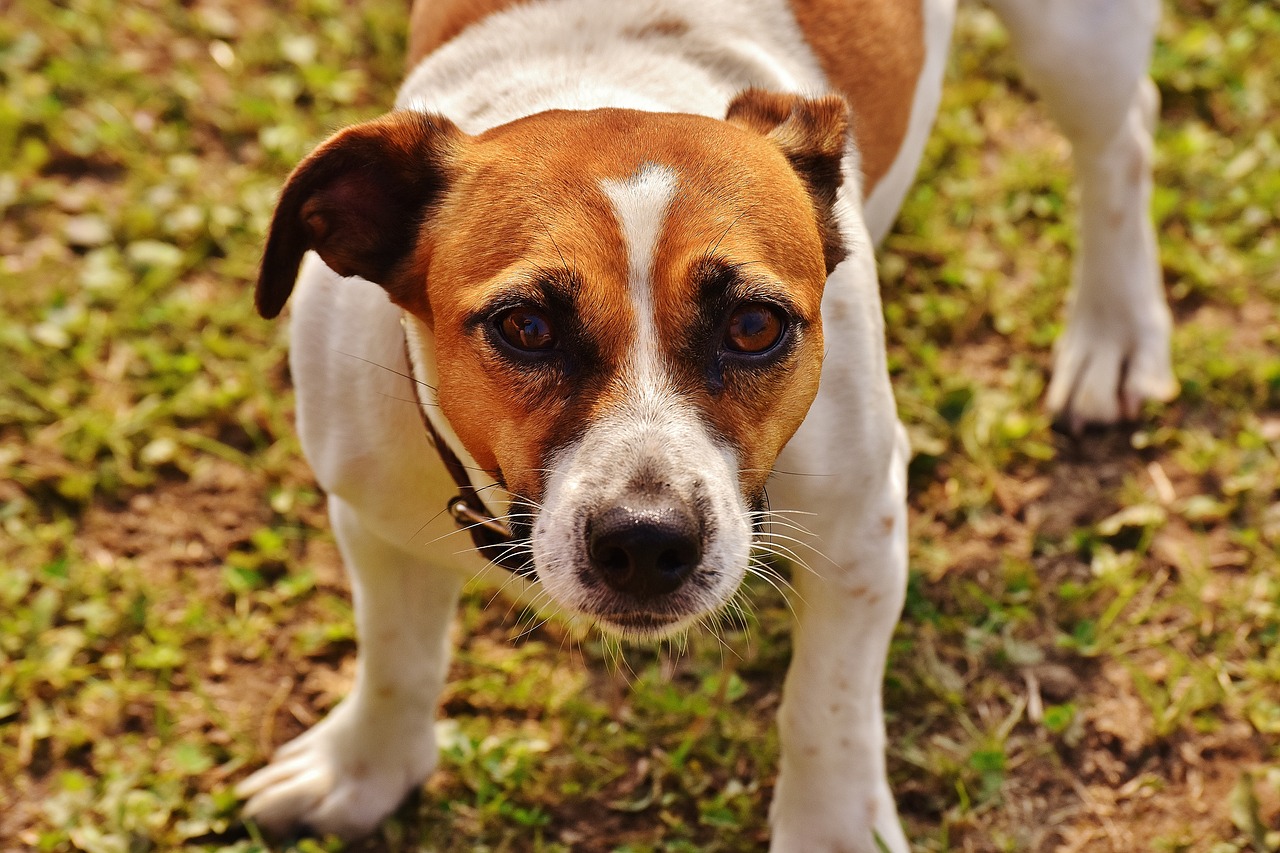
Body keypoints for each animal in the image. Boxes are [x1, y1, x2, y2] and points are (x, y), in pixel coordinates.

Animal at [235, 1, 1172, 845]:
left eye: (755, 325)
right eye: (524, 326)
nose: (646, 541)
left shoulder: (860, 529)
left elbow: (827, 710)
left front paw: (831, 831)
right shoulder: (373, 517)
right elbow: (396, 655)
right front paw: (363, 771)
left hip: (1076, 42)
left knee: (1121, 137)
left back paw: (1116, 331)